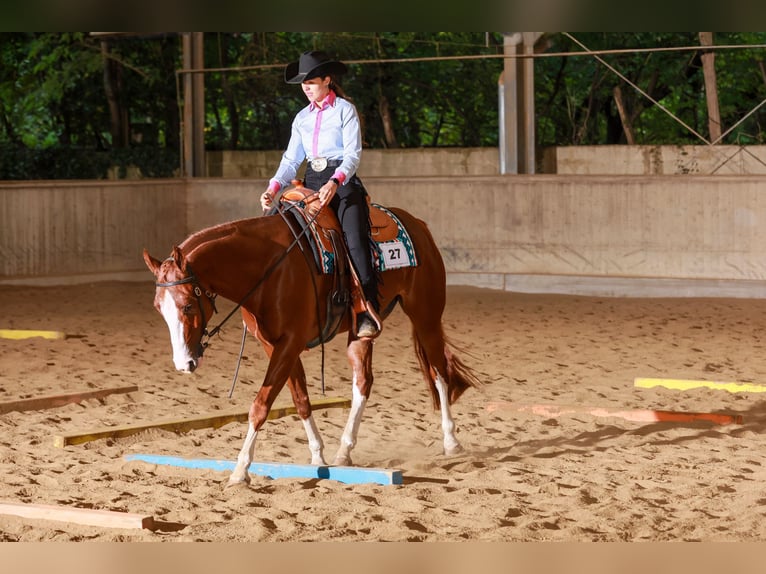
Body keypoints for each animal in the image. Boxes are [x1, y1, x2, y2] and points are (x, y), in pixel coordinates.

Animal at [143, 187, 481, 487]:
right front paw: (318, 457)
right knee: (363, 382)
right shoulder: (274, 345)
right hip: (361, 332)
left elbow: (261, 405)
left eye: (188, 304)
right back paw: (344, 450)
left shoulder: (289, 343)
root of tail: (418, 224)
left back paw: (451, 441)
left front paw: (240, 470)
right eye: (158, 308)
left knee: (439, 372)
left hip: (426, 315)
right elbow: (301, 399)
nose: (183, 364)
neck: (269, 267)